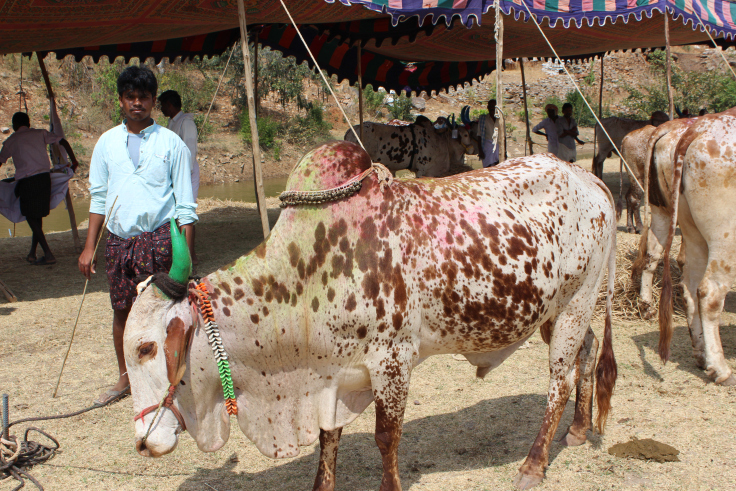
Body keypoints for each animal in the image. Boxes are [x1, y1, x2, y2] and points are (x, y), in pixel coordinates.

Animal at [628, 109, 736, 386]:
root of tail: (696, 130)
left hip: (680, 221)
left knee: (676, 275)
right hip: (725, 235)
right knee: (709, 292)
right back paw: (719, 369)